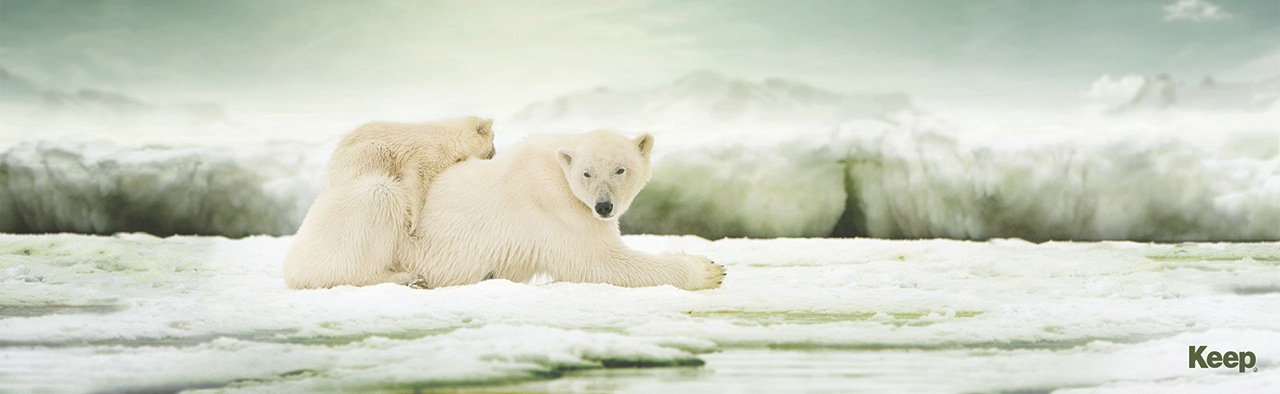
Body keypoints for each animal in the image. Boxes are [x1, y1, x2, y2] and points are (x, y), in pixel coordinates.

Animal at [394, 131, 727, 287]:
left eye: (620, 169)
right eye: (587, 173)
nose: (603, 206)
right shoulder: (555, 205)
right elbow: (600, 261)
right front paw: (709, 269)